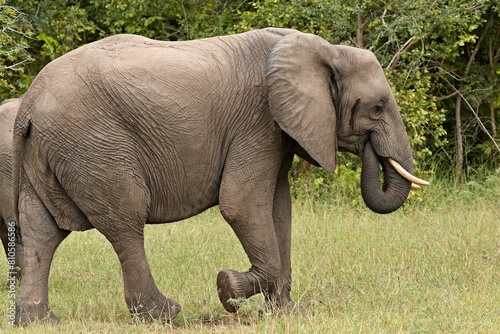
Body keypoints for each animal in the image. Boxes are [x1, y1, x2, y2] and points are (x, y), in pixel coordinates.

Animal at [12, 28, 426, 326]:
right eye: (377, 107)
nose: (371, 148)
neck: (322, 49)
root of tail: (28, 103)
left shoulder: (275, 133)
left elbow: (279, 210)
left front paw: (288, 314)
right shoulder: (258, 120)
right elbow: (241, 204)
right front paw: (227, 288)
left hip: (50, 154)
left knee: (41, 233)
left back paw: (41, 322)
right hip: (95, 148)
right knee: (125, 222)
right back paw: (164, 314)